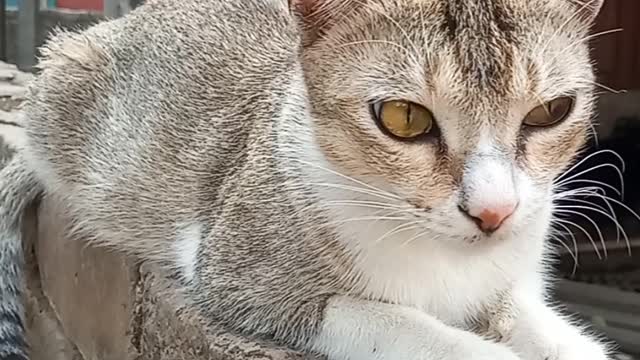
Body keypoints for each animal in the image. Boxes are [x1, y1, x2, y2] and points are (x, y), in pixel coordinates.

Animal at [0, 0, 616, 358]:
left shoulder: (510, 277)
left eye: (551, 111)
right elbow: (402, 325)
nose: (493, 211)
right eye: (404, 118)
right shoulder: (241, 281)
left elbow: (536, 323)